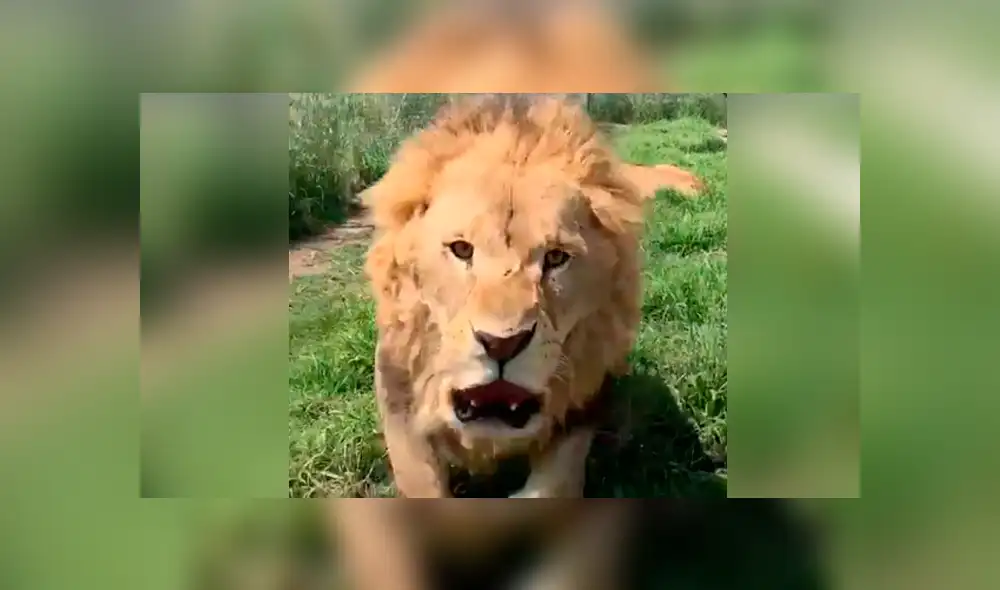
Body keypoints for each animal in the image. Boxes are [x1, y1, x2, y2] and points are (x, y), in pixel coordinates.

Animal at [363, 94, 648, 499]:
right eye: (462, 249)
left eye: (556, 257)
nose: (501, 344)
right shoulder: (399, 404)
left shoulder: (577, 417)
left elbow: (551, 487)